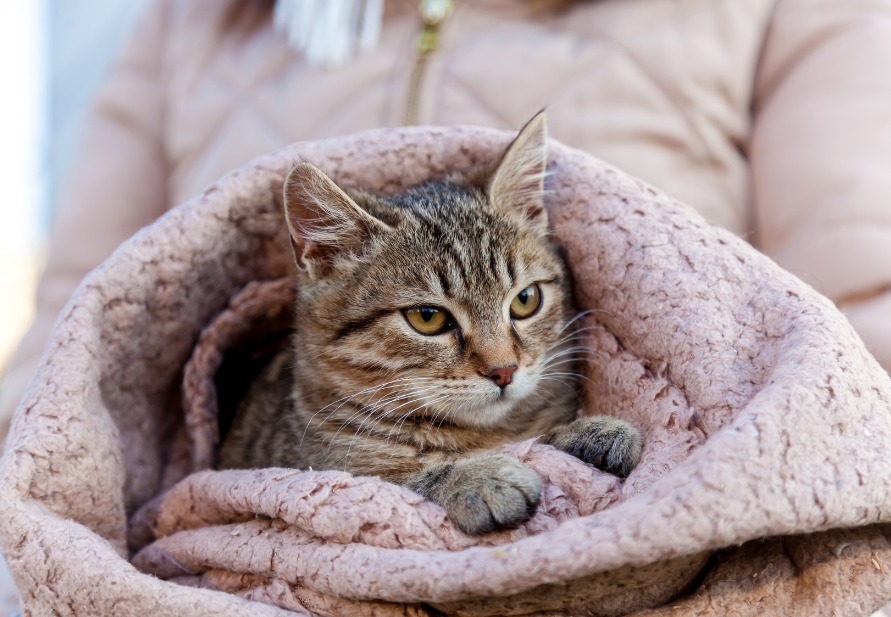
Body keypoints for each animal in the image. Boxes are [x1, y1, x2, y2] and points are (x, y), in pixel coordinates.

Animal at [221, 113, 640, 536]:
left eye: (525, 300)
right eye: (428, 317)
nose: (503, 370)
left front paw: (589, 431)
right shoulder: (314, 474)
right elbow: (390, 482)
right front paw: (477, 476)